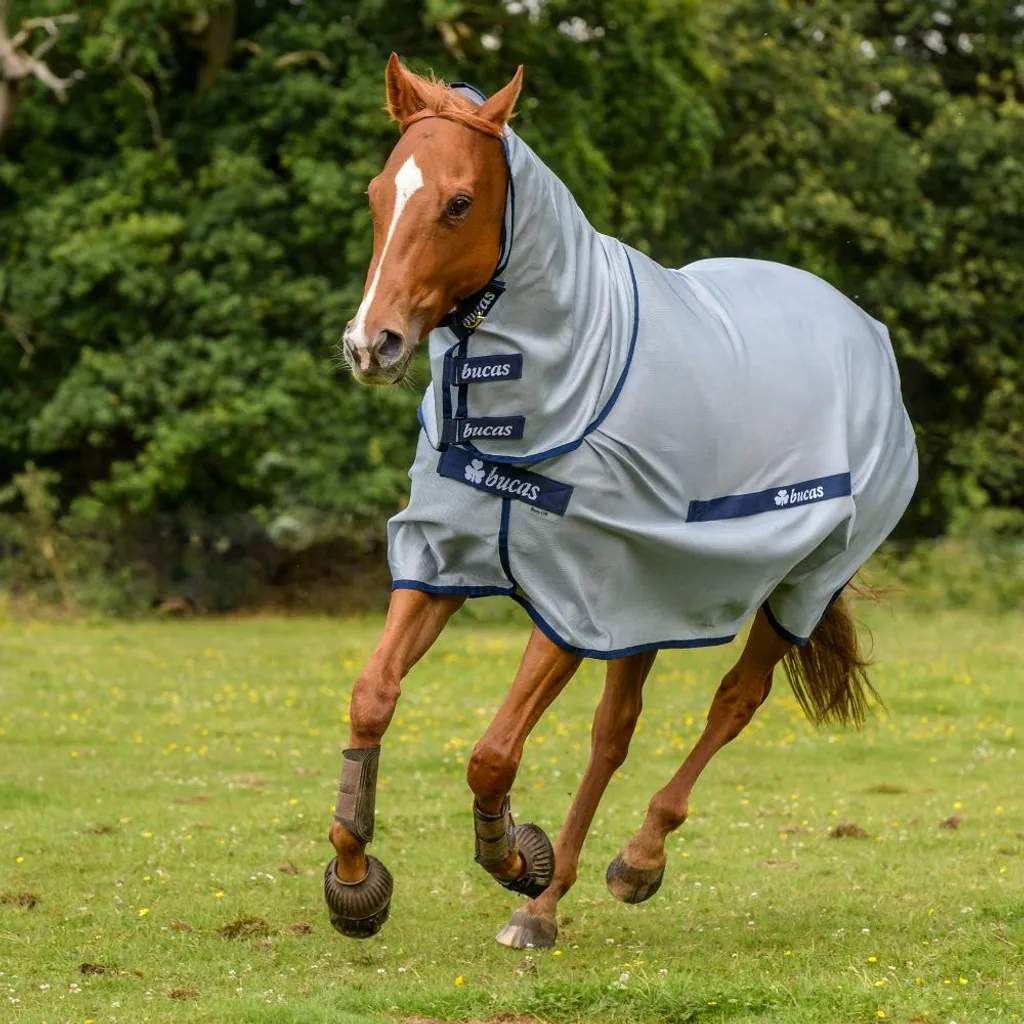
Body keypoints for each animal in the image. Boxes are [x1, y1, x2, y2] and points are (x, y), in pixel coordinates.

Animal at [323, 55, 919, 950]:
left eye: (459, 202)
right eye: (376, 194)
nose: (372, 344)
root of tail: (865, 332)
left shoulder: (572, 596)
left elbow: (492, 754)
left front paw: (512, 855)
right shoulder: (444, 563)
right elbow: (372, 696)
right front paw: (356, 878)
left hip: (797, 585)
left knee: (734, 703)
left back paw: (634, 861)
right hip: (648, 598)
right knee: (615, 731)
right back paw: (543, 909)